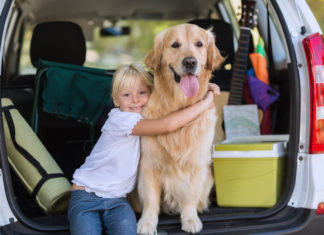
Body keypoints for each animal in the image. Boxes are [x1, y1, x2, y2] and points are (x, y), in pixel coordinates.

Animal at [136, 23, 223, 235]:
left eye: (199, 44)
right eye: (175, 45)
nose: (190, 62)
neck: (179, 104)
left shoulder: (197, 164)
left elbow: (190, 196)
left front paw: (190, 220)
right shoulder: (149, 164)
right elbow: (151, 200)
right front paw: (147, 223)